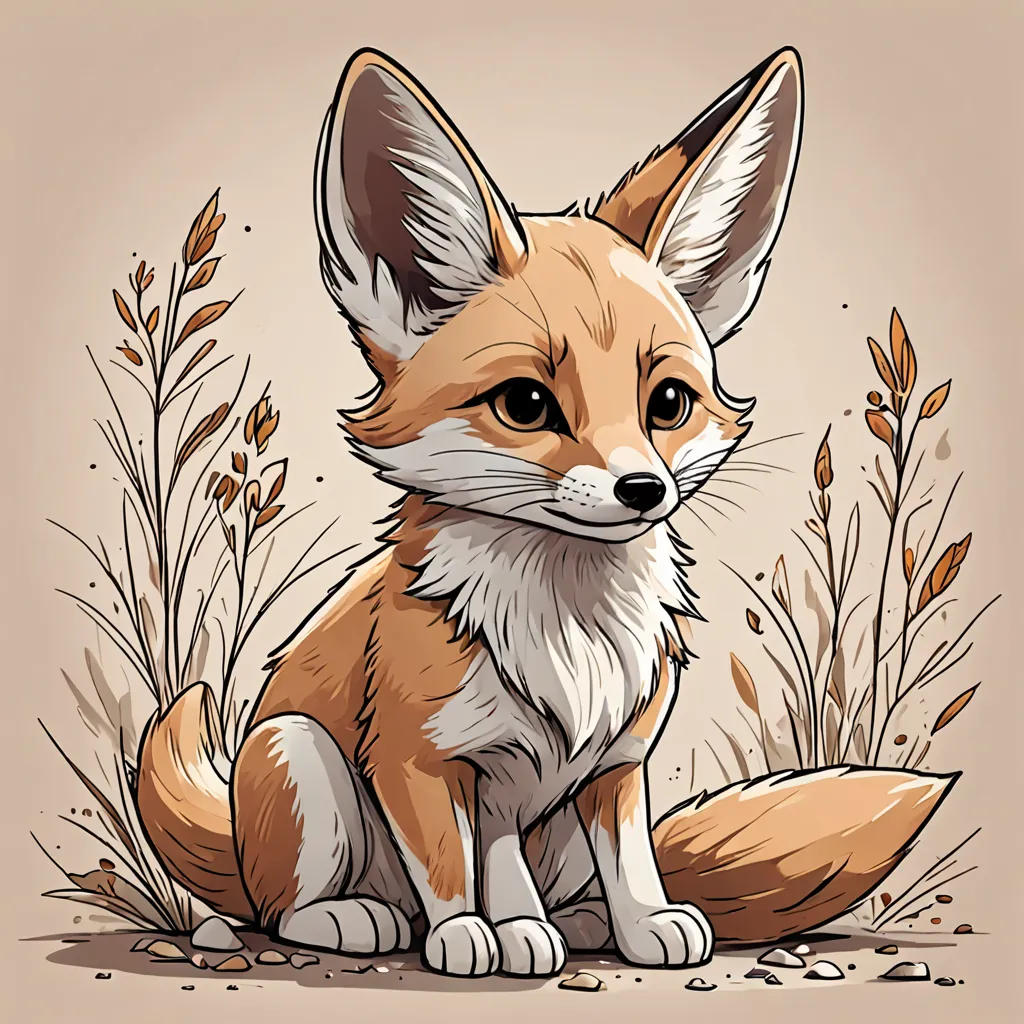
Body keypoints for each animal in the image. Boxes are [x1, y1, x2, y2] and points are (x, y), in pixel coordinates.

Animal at [136, 45, 803, 977]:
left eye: (668, 403)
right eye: (526, 404)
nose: (644, 490)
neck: (567, 630)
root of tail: (234, 842)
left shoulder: (613, 764)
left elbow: (628, 864)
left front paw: (638, 926)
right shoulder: (422, 758)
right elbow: (458, 867)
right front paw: (471, 936)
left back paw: (577, 924)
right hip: (299, 755)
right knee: (283, 910)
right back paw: (362, 920)